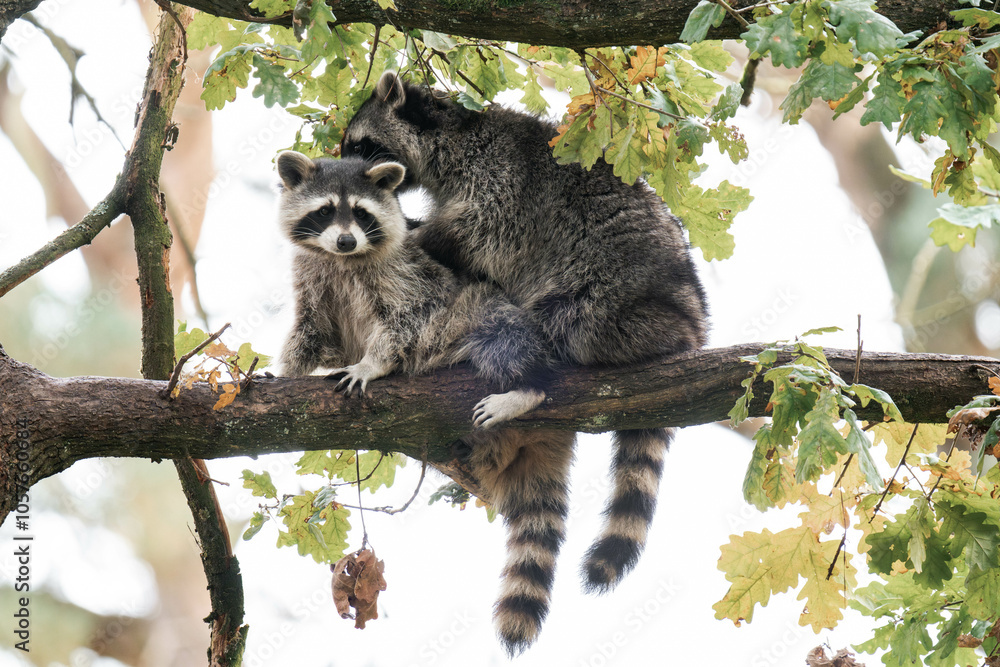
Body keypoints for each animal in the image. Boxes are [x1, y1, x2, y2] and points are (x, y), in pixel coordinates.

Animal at [275, 151, 551, 426]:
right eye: (325, 211)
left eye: (361, 213)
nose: (347, 241)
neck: (341, 258)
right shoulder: (310, 276)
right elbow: (312, 329)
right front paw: (288, 371)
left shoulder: (409, 272)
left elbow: (410, 317)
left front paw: (371, 364)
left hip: (473, 306)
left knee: (505, 334)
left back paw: (528, 387)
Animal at [343, 72, 710, 651]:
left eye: (357, 145)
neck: (450, 134)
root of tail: (693, 328)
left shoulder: (500, 181)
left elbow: (479, 232)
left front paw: (418, 231)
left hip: (614, 300)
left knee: (560, 320)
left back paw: (530, 385)